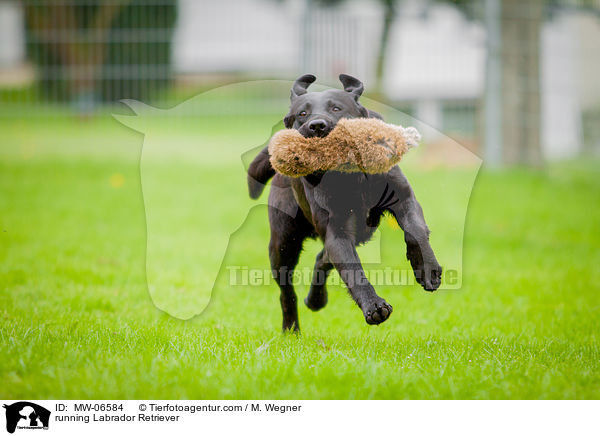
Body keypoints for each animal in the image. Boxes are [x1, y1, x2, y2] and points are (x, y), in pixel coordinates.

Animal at [247, 75, 440, 332]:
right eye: (302, 114)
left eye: (336, 108)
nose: (317, 125)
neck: (351, 178)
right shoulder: (337, 230)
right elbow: (353, 270)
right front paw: (374, 306)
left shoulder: (404, 199)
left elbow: (416, 231)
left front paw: (428, 270)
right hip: (283, 243)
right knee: (287, 290)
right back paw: (292, 328)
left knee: (322, 258)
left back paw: (316, 300)